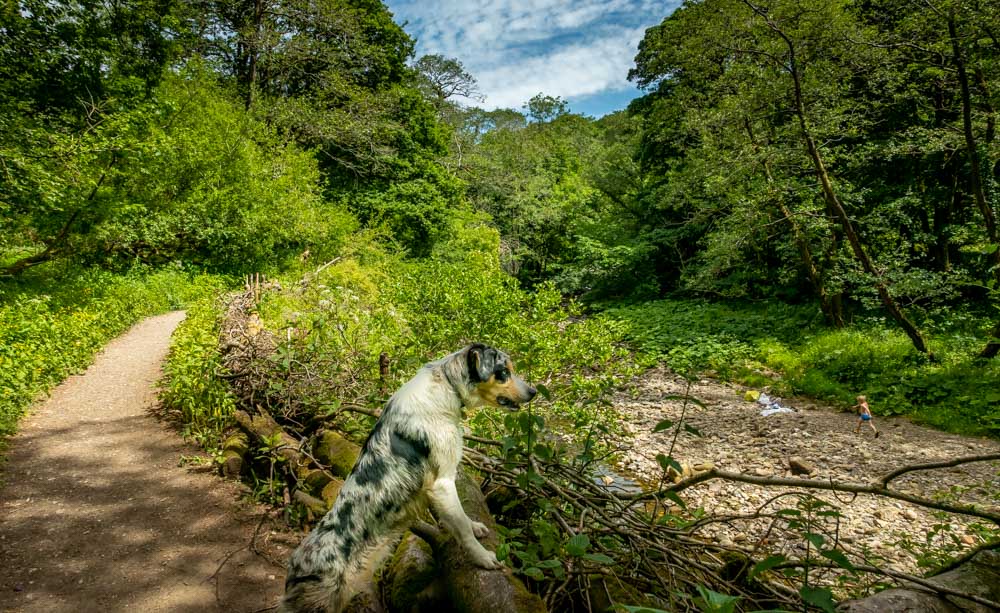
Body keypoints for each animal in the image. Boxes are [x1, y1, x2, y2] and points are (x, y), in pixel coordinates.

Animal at [278, 342, 536, 608]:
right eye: (503, 371)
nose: (534, 392)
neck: (448, 387)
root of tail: (294, 570)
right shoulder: (442, 483)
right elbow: (461, 525)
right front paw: (483, 557)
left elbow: (460, 518)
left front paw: (476, 527)